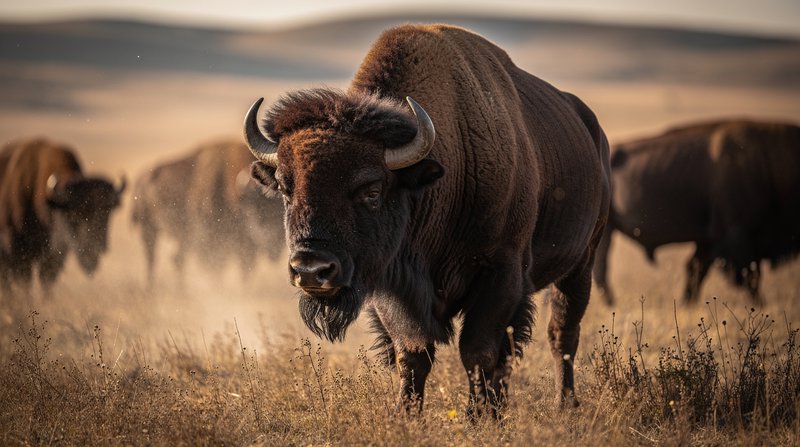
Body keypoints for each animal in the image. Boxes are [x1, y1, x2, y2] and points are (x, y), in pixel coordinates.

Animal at [0, 138, 125, 297]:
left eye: (107, 213)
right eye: (73, 215)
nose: (95, 248)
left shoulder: (55, 258)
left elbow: (47, 283)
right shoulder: (19, 254)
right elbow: (25, 285)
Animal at [130, 139, 283, 285]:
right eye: (256, 206)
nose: (275, 239)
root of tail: (142, 179)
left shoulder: (245, 247)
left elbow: (245, 271)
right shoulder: (209, 240)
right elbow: (216, 268)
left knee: (177, 259)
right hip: (149, 230)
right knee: (152, 258)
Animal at [245, 24, 610, 417]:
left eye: (372, 189)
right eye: (285, 187)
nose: (312, 270)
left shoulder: (501, 275)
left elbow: (478, 352)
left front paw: (478, 416)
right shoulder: (391, 288)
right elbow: (413, 353)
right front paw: (407, 414)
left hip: (581, 264)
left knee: (562, 335)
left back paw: (565, 404)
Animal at [593, 119, 800, 305]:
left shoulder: (708, 241)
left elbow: (696, 270)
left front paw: (686, 303)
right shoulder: (736, 237)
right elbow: (749, 277)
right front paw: (761, 305)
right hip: (606, 230)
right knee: (601, 269)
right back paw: (612, 304)